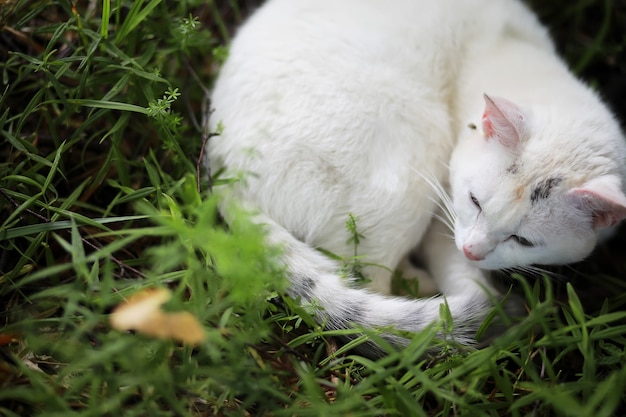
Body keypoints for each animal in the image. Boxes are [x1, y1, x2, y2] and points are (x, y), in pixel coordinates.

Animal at [205, 0, 624, 352]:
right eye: (474, 201)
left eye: (524, 240)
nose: (472, 251)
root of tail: (224, 171)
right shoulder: (446, 219)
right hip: (414, 155)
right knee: (369, 280)